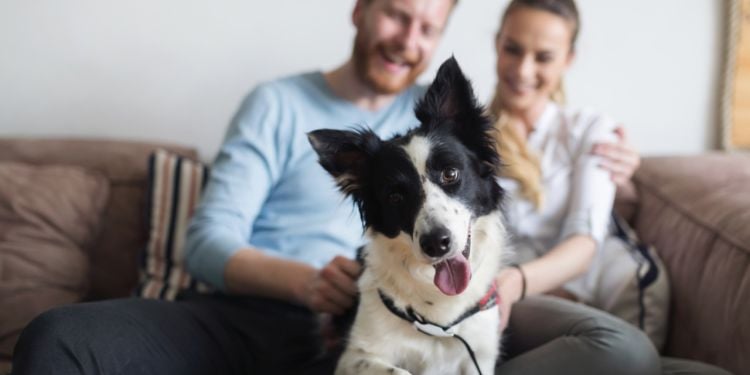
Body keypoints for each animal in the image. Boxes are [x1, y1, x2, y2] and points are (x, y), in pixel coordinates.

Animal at [308, 56, 508, 375]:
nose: (436, 243)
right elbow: (399, 371)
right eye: (395, 197)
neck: (440, 320)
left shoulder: (479, 357)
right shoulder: (354, 356)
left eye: (450, 173)